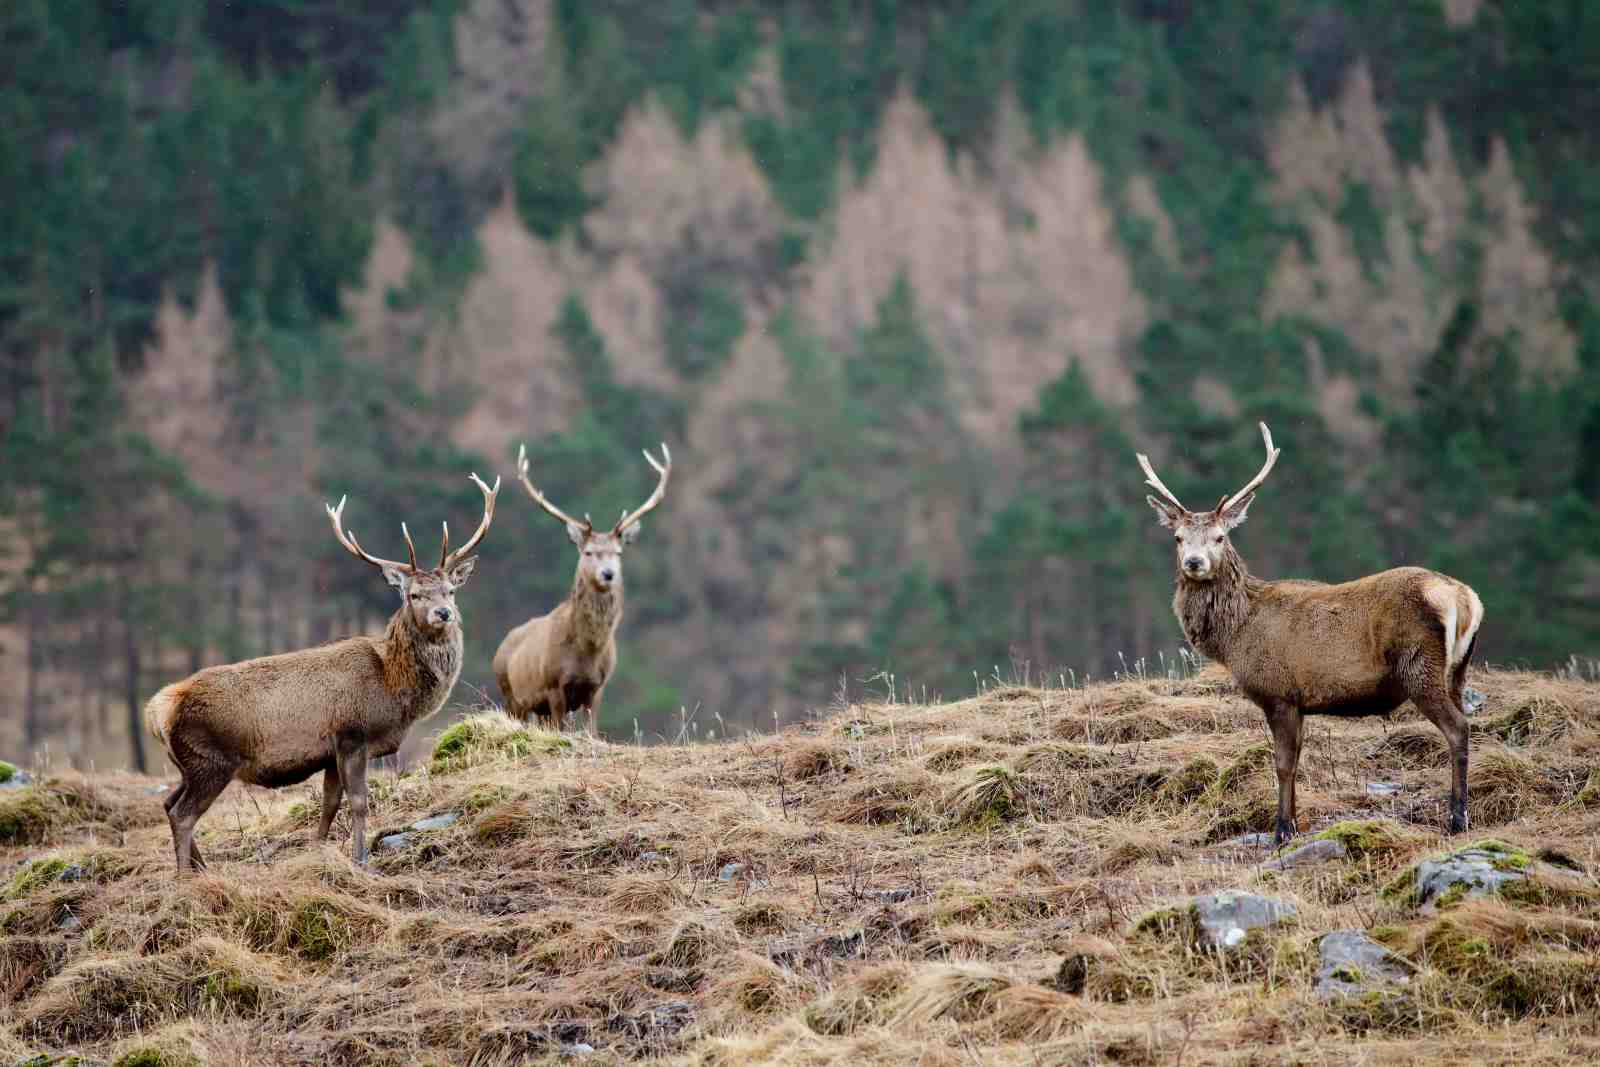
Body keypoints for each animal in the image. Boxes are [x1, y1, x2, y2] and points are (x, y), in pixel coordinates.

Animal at [144, 473, 499, 870]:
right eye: (414, 595)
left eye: (451, 590)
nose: (443, 613)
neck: (394, 689)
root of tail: (158, 709)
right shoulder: (352, 735)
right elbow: (359, 802)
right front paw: (362, 860)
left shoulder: (330, 751)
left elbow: (329, 804)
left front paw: (318, 852)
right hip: (210, 761)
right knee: (183, 814)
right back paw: (184, 875)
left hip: (187, 764)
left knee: (167, 803)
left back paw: (202, 867)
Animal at [493, 442, 670, 734]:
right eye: (588, 552)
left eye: (618, 553)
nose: (608, 574)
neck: (587, 653)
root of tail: (500, 648)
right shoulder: (552, 684)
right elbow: (562, 729)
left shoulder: (597, 687)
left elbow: (592, 730)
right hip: (512, 696)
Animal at [1137, 422, 1483, 845]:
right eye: (1178, 538)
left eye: (1220, 536)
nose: (1194, 562)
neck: (1236, 635)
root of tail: (1465, 599)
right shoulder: (1299, 701)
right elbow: (1298, 758)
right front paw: (1294, 824)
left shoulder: (1279, 692)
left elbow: (1284, 763)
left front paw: (1281, 831)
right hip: (1458, 669)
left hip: (1420, 666)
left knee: (1458, 728)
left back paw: (1457, 818)